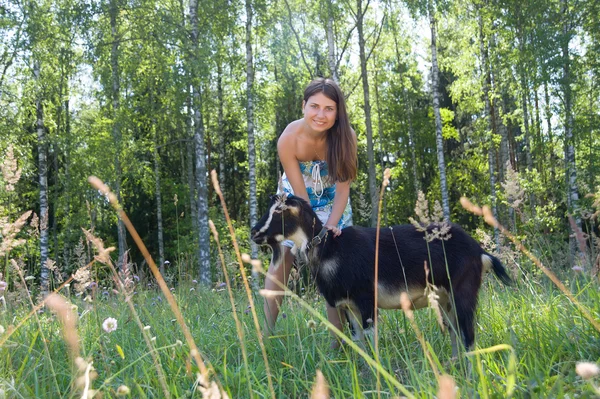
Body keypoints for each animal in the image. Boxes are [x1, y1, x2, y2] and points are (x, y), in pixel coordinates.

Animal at [250, 193, 510, 356]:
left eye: (280, 211)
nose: (254, 232)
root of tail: (479, 251)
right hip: (445, 300)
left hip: (463, 292)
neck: (331, 249)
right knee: (456, 333)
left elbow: (371, 341)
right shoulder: (349, 307)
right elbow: (360, 344)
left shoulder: (367, 300)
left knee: (468, 335)